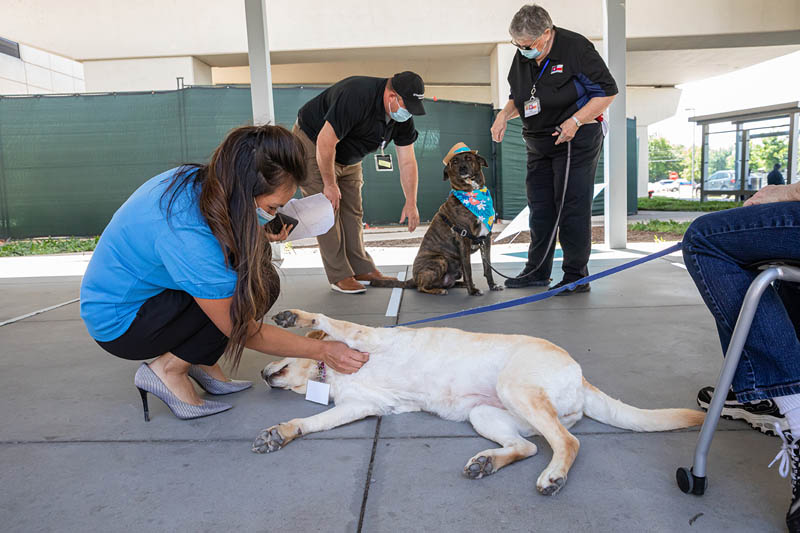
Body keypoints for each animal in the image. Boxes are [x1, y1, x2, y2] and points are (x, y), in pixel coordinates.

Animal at [372, 151, 504, 296]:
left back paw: (460, 284)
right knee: (421, 287)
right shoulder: (463, 239)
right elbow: (468, 269)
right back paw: (439, 290)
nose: (462, 168)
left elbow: (488, 267)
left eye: (469, 158)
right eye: (455, 162)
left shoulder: (486, 239)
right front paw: (473, 291)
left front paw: (492, 285)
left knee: (450, 282)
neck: (472, 192)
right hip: (440, 260)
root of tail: (414, 278)